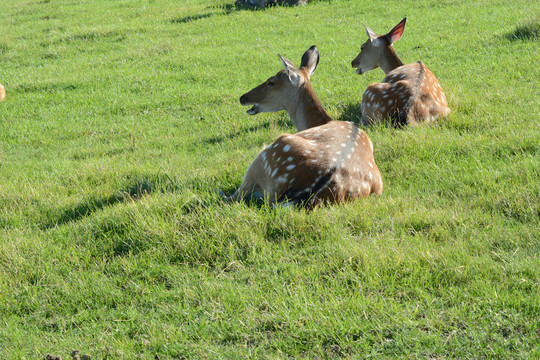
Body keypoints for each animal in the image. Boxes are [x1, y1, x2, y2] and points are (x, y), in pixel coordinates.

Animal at [224, 45, 384, 208]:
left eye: (271, 82)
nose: (243, 97)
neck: (324, 121)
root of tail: (309, 195)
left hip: (269, 155)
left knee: (232, 197)